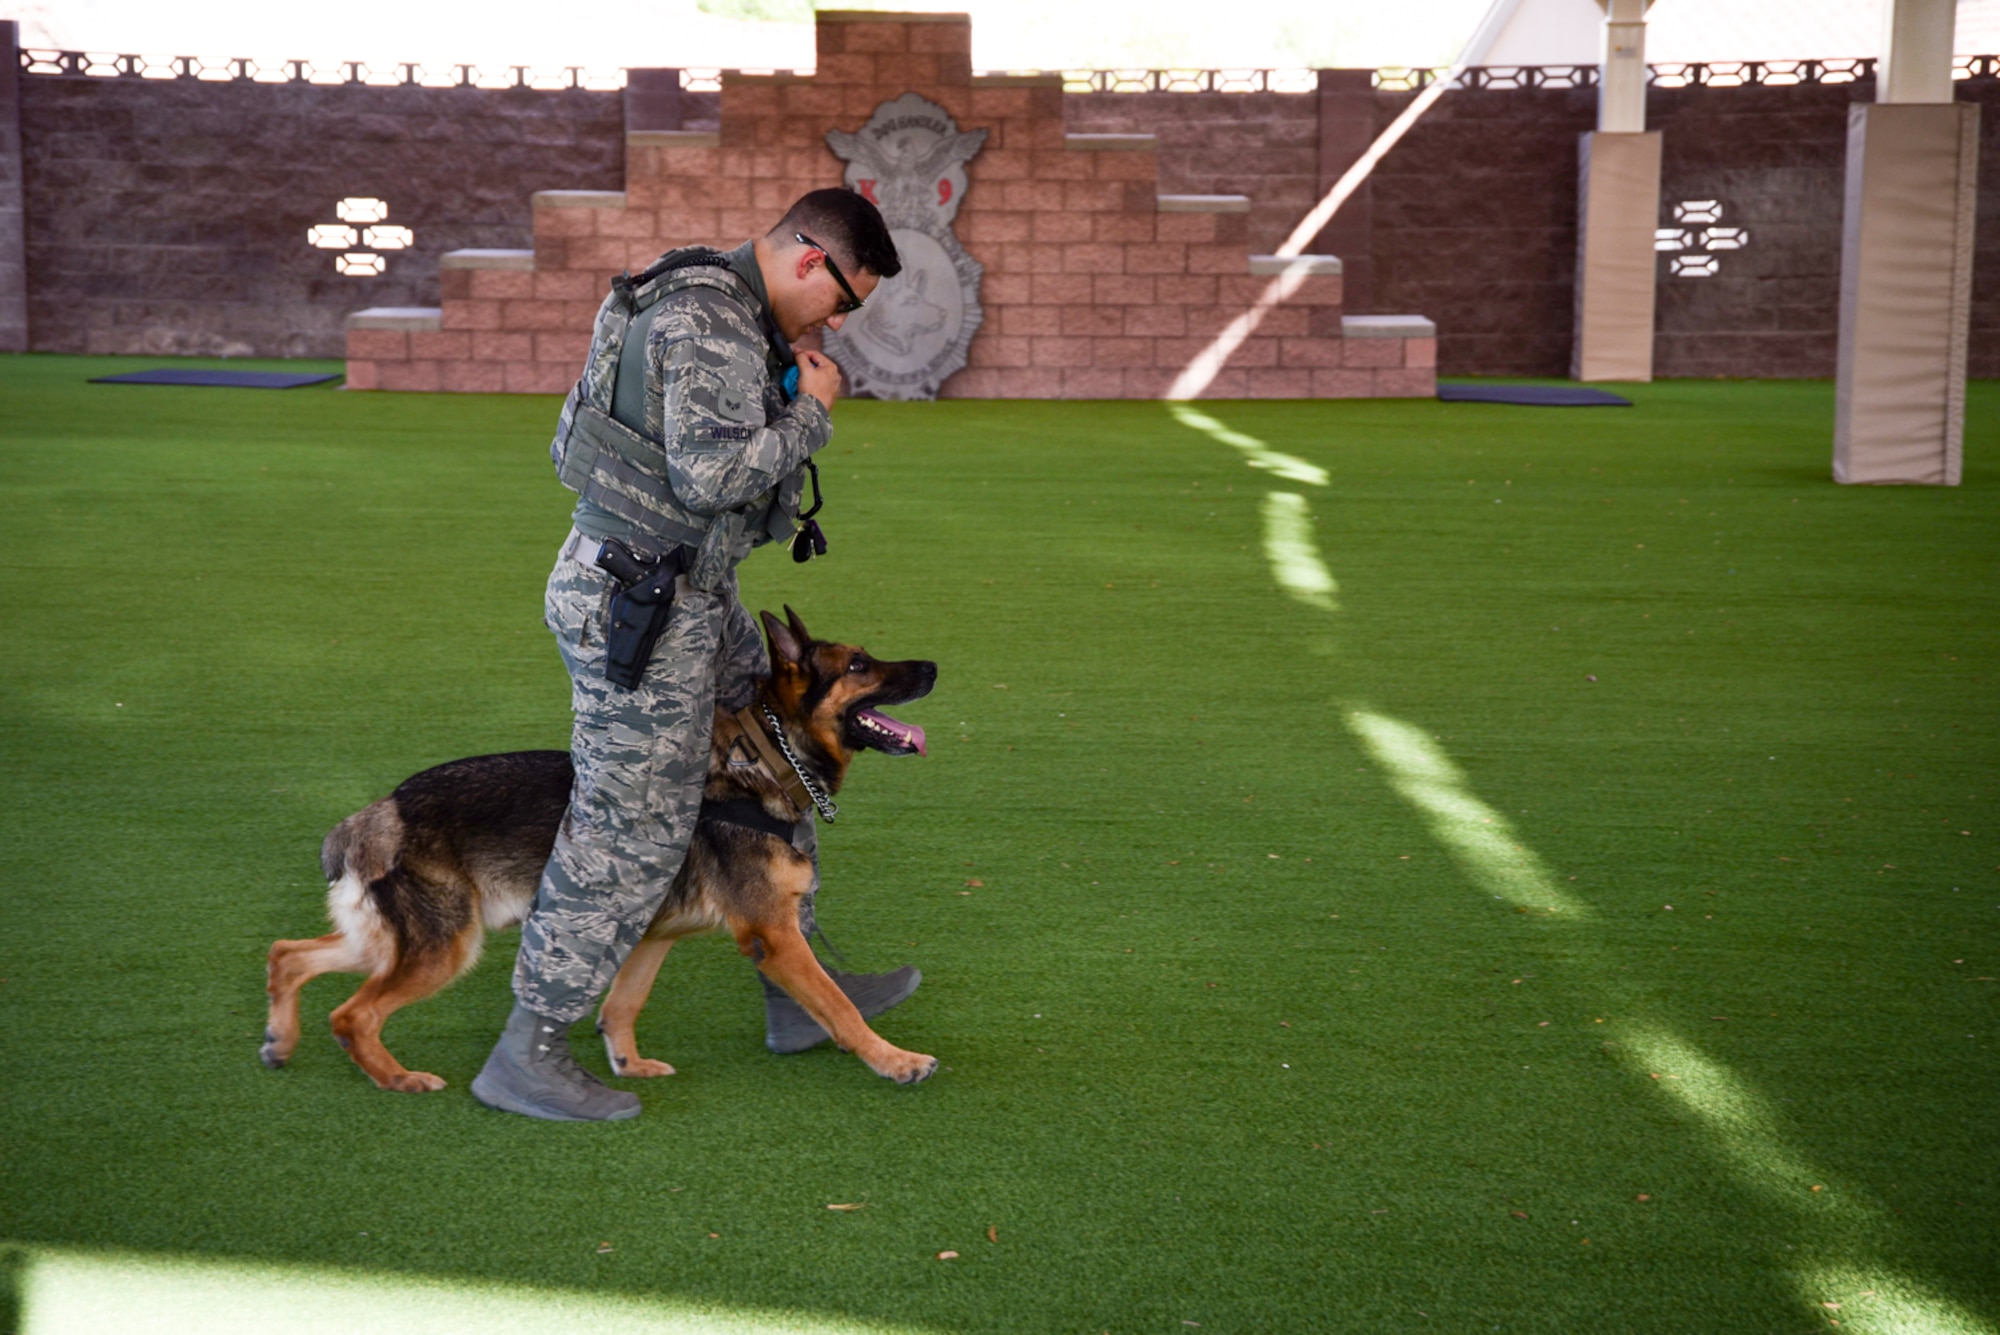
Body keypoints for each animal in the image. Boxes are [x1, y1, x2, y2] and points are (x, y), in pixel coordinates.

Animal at [262, 611, 940, 1103]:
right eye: (859, 664)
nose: (934, 665)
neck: (767, 760)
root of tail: (382, 810)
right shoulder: (774, 934)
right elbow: (838, 1004)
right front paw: (895, 1061)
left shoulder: (654, 936)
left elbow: (622, 1004)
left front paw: (627, 1063)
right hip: (444, 948)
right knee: (352, 1015)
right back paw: (397, 1077)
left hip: (392, 942)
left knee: (288, 954)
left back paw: (279, 1040)